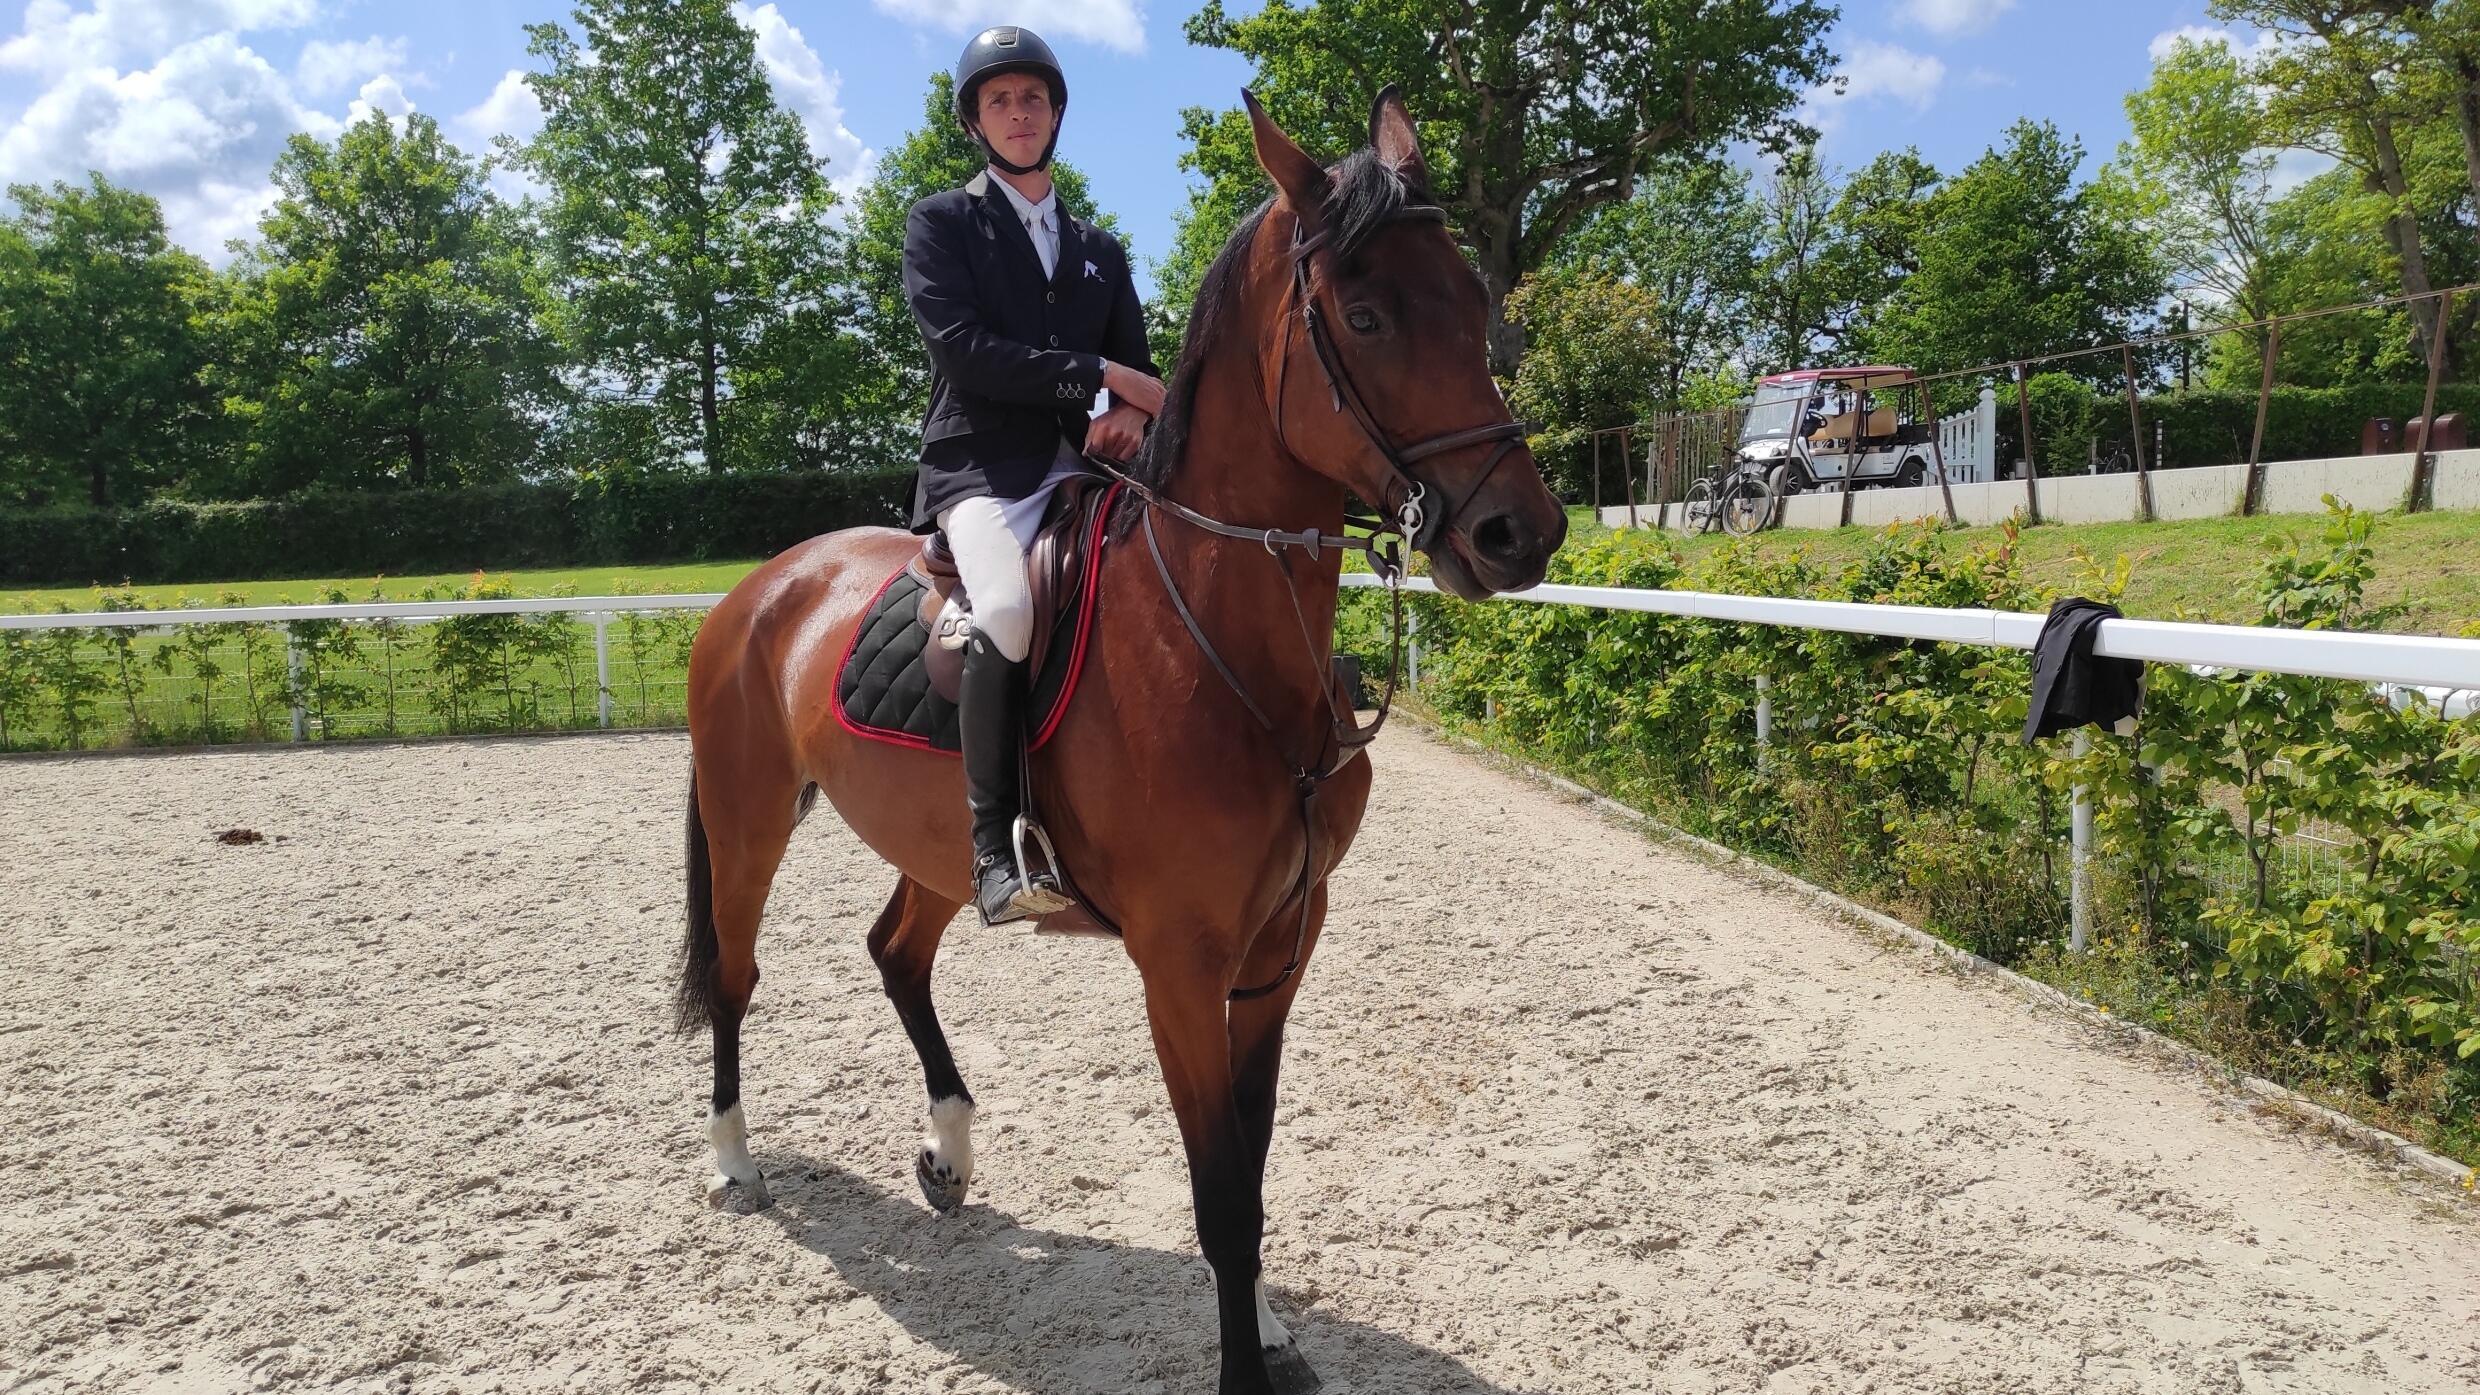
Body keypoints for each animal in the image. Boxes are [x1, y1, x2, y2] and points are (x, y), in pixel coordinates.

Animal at [678, 87, 1566, 1395]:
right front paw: (1247, 1364)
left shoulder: (1281, 947)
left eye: (1472, 299)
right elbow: (1221, 1199)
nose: (1519, 535)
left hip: (937, 843)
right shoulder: (1180, 966)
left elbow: (1248, 1167)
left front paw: (1272, 1331)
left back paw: (948, 1154)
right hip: (745, 820)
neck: (1224, 642)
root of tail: (761, 587)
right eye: (1364, 315)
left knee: (896, 951)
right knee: (738, 977)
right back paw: (736, 1164)